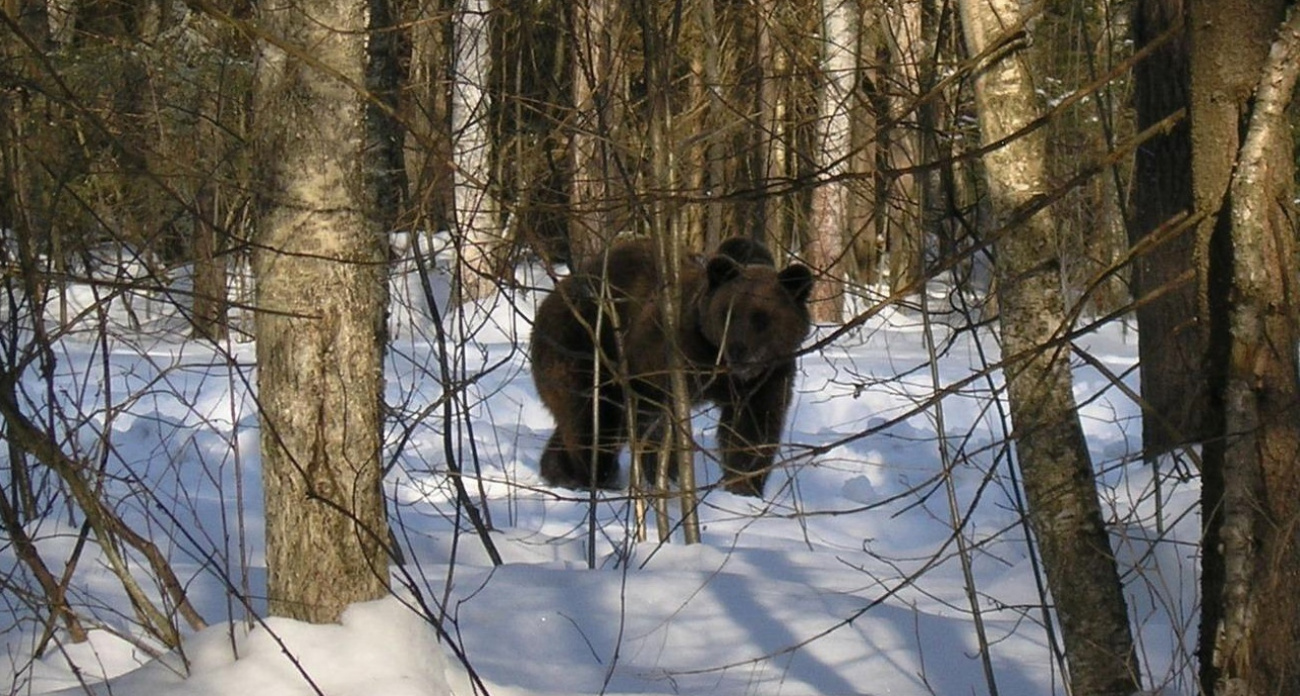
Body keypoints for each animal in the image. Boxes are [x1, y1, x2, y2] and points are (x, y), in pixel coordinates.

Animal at [527, 236, 811, 499]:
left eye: (761, 318)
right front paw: (668, 479)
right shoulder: (666, 359)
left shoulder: (768, 375)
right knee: (592, 417)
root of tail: (549, 300)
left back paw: (559, 470)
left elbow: (753, 430)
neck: (716, 364)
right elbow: (659, 420)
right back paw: (595, 478)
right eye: (726, 313)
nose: (739, 351)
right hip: (582, 347)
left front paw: (744, 487)